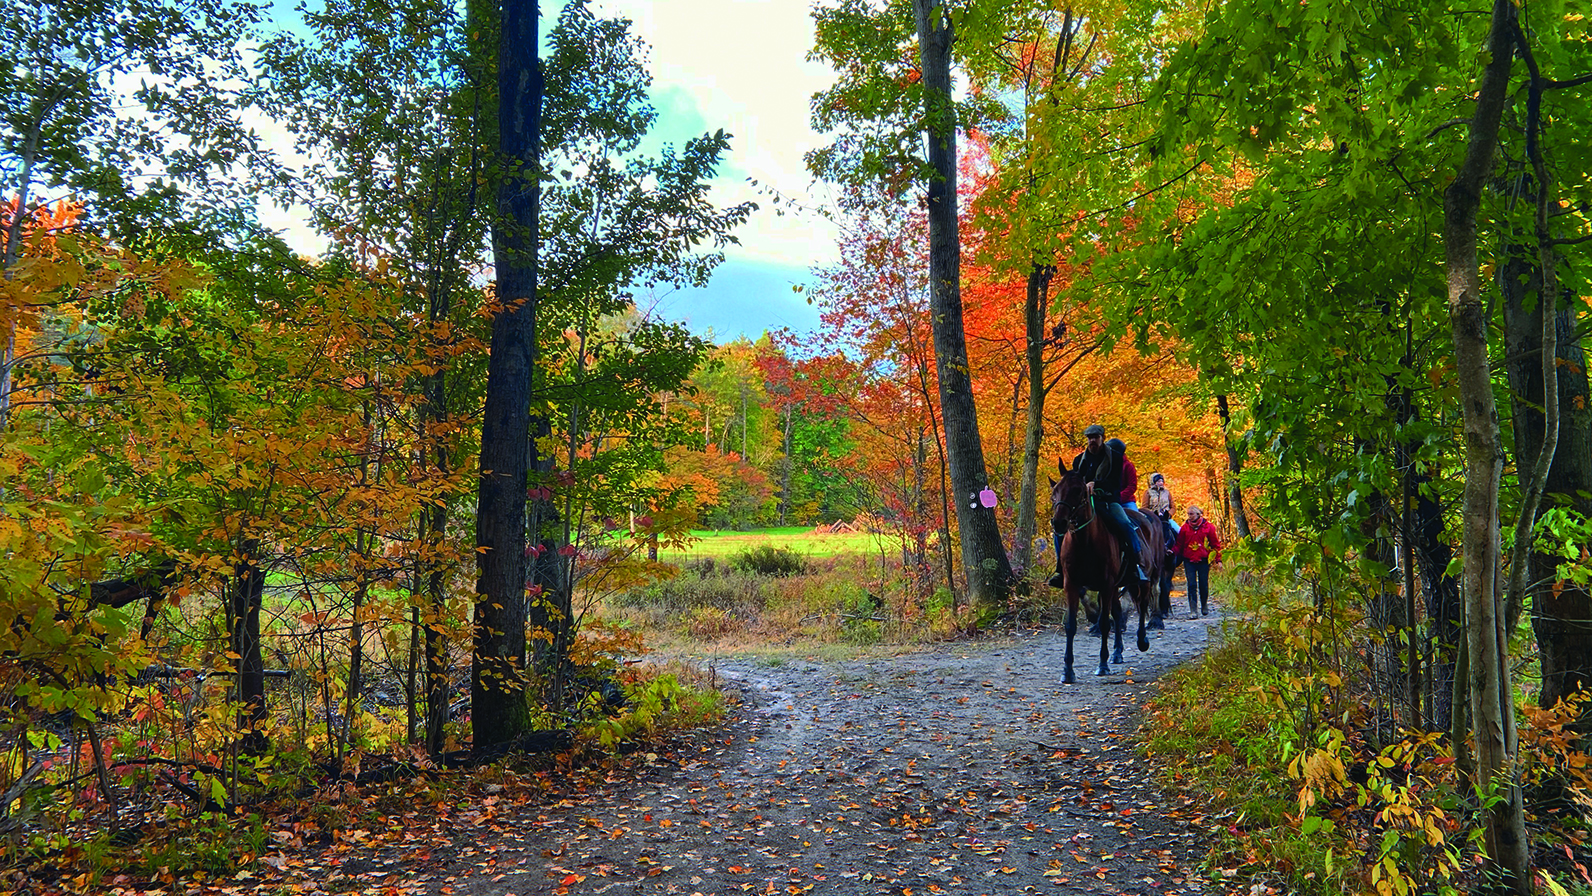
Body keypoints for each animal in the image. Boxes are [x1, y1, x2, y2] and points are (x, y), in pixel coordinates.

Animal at [1050, 467, 1152, 684]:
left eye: (1078, 491)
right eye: (1054, 493)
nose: (1059, 523)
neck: (1084, 542)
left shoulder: (1106, 585)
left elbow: (1105, 623)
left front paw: (1102, 665)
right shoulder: (1072, 585)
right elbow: (1070, 625)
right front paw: (1067, 671)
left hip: (1141, 581)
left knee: (1142, 604)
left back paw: (1142, 640)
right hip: (1114, 588)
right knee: (1118, 612)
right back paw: (1117, 652)